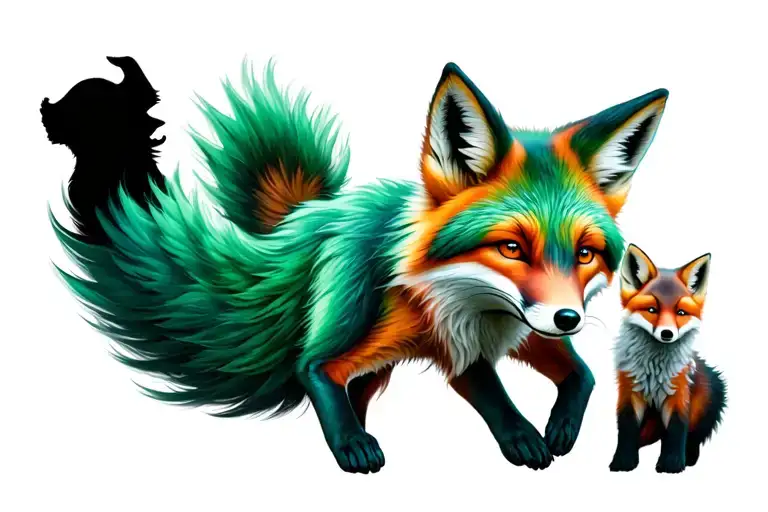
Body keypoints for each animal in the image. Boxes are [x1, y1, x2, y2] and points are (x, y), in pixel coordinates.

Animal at [44, 56, 669, 474]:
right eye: (512, 247)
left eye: (584, 253)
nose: (569, 319)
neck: (467, 303)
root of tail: (320, 213)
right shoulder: (457, 344)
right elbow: (323, 370)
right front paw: (522, 436)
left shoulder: (508, 330)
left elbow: (581, 375)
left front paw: (560, 429)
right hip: (361, 334)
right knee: (320, 369)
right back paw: (350, 438)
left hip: (381, 365)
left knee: (356, 389)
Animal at [609, 244, 726, 473]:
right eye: (652, 310)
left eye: (680, 312)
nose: (667, 333)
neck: (653, 371)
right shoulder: (628, 391)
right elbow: (626, 427)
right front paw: (623, 461)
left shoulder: (678, 392)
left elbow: (676, 429)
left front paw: (671, 464)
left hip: (713, 396)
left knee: (694, 436)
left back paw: (689, 458)